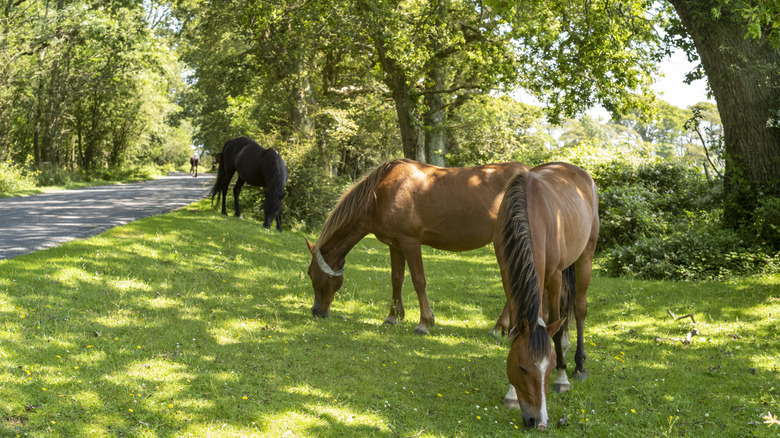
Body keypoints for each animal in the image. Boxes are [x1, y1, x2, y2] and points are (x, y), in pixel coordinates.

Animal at [305, 158, 528, 335]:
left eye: (311, 274)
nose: (316, 312)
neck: (381, 194)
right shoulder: (395, 244)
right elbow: (397, 279)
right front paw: (393, 316)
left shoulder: (410, 242)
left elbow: (418, 281)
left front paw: (424, 323)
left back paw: (498, 328)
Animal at [494, 162, 599, 430]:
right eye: (521, 368)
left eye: (550, 368)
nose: (538, 421)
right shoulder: (507, 271)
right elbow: (517, 327)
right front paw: (511, 393)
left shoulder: (554, 276)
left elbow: (557, 327)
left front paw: (562, 378)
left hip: (586, 257)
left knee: (578, 309)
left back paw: (579, 366)